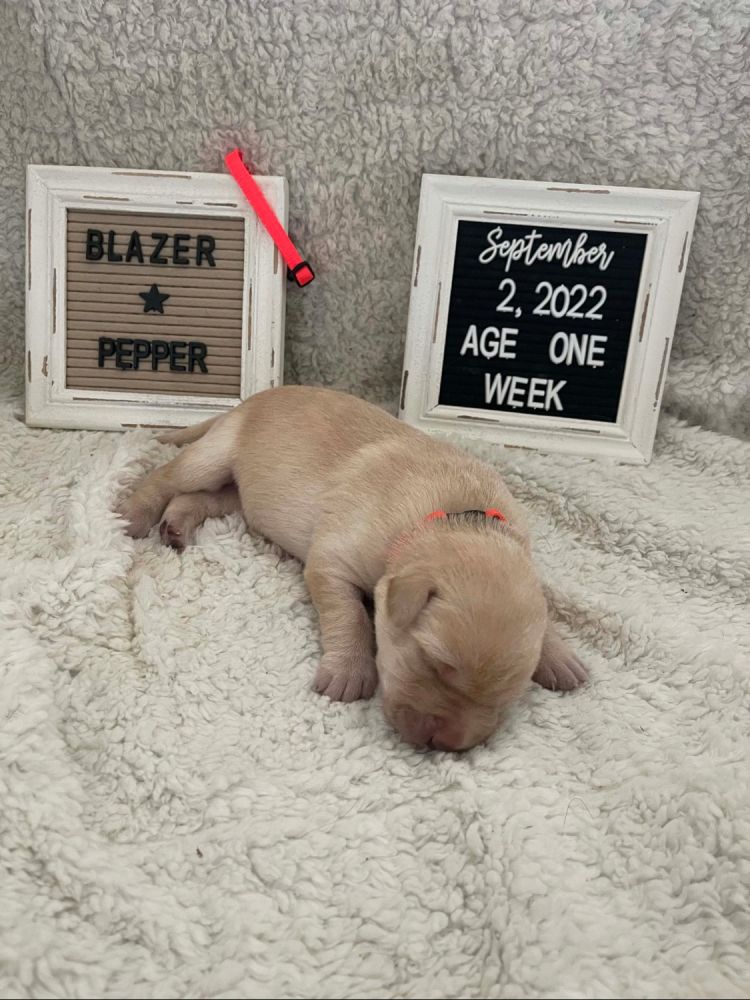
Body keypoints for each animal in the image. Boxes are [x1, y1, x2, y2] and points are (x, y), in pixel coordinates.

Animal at [118, 386, 586, 750]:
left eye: (509, 692)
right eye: (432, 663)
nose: (445, 746)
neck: (456, 515)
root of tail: (249, 400)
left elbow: (542, 605)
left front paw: (559, 655)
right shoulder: (332, 562)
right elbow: (350, 616)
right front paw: (347, 673)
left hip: (241, 492)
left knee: (202, 498)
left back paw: (177, 524)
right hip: (212, 456)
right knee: (165, 477)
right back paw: (135, 514)